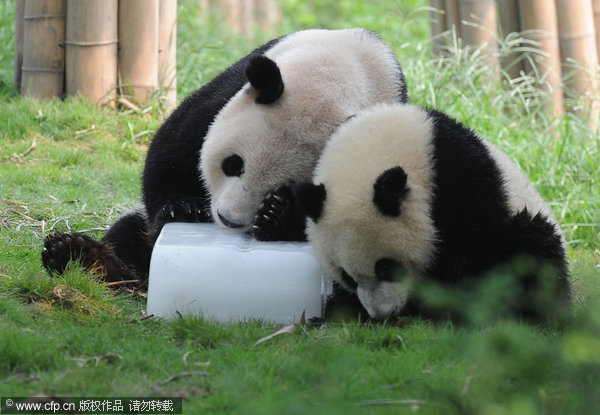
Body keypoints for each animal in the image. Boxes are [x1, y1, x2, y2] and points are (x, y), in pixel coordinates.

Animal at [41, 28, 408, 286]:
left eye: (281, 183)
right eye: (234, 164)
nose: (227, 218)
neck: (340, 73)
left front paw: (276, 213)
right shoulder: (236, 88)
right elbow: (173, 145)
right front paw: (180, 209)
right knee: (129, 232)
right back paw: (82, 258)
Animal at [294, 103, 572, 322]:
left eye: (386, 267)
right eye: (347, 277)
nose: (382, 314)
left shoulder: (461, 183)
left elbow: (474, 250)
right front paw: (340, 308)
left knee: (535, 248)